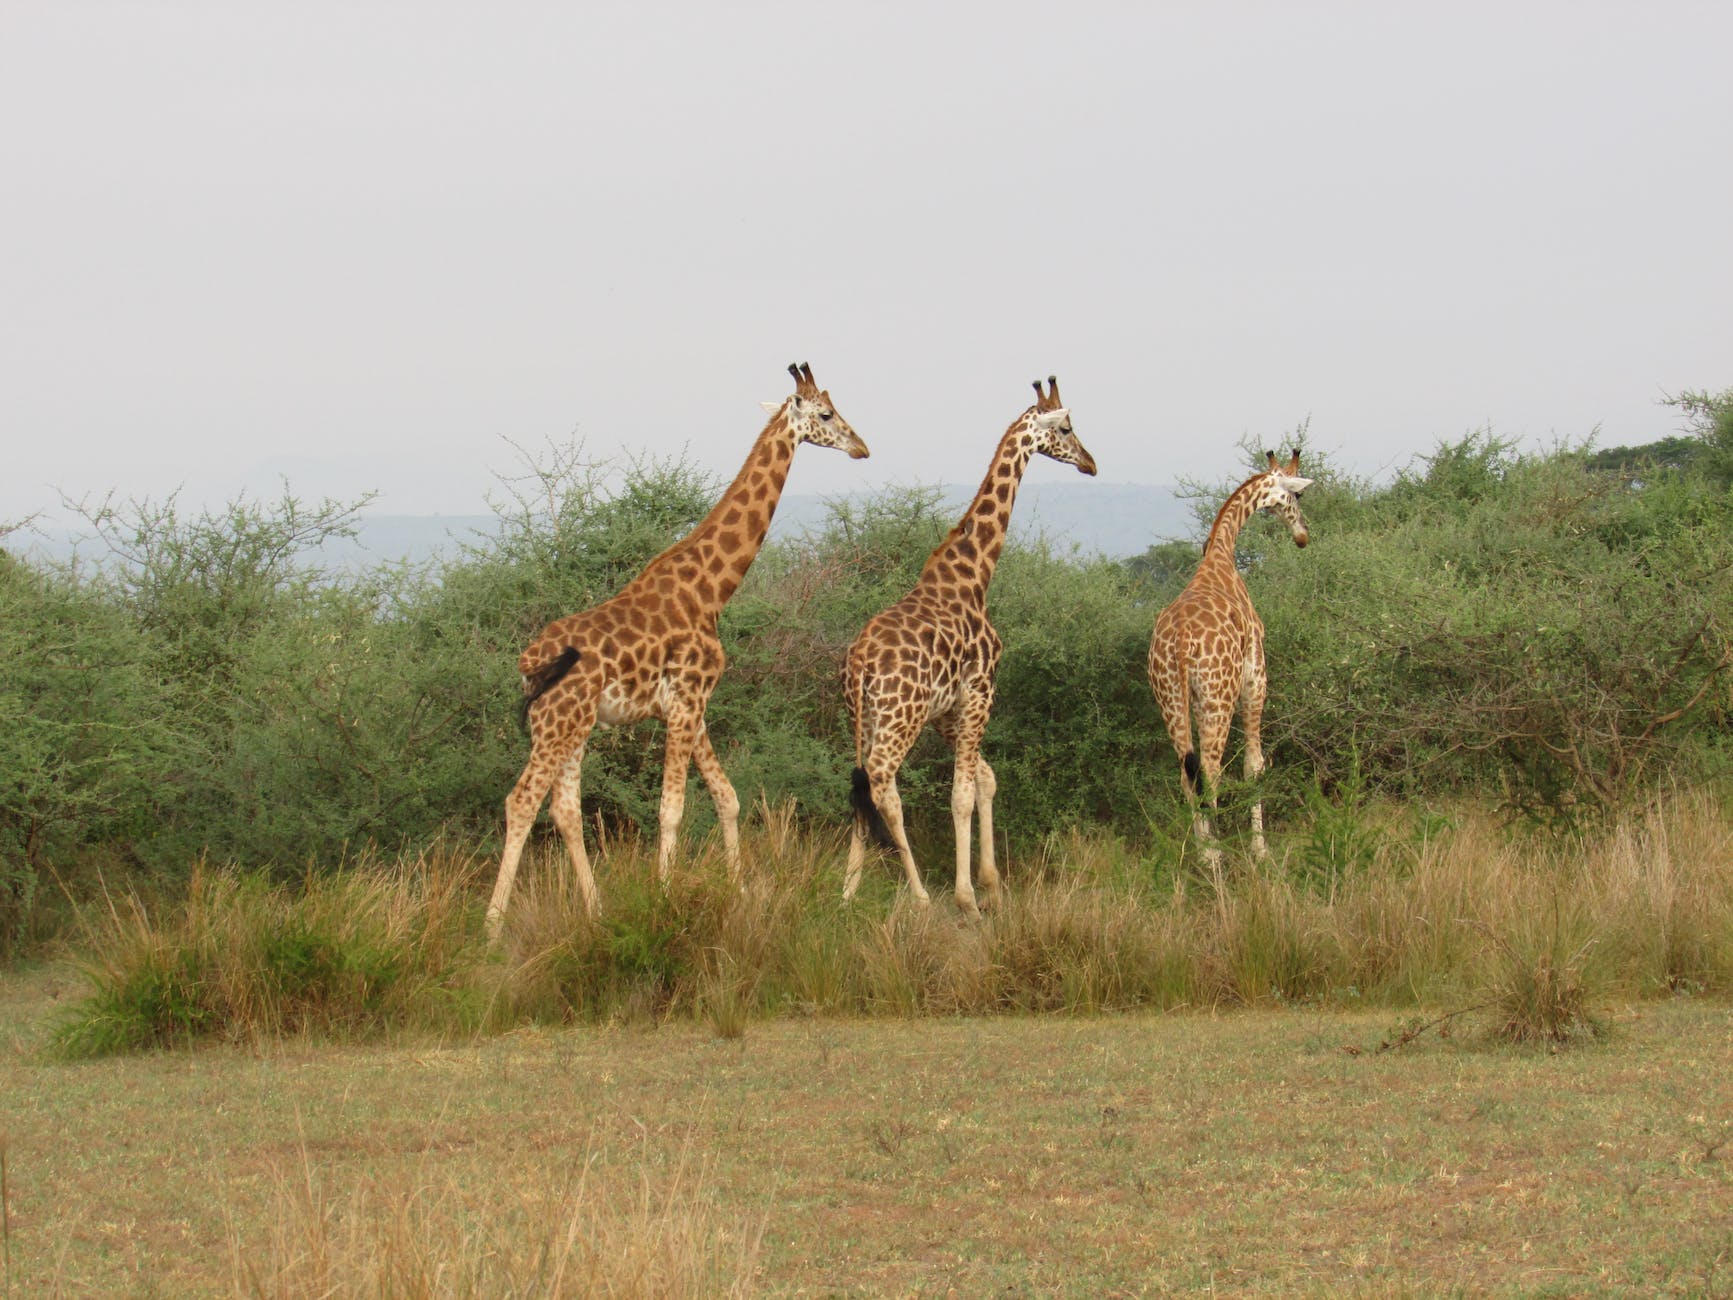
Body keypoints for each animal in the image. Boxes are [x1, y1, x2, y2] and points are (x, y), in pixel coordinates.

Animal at [485, 362, 866, 942]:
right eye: (825, 414)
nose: (862, 447)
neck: (709, 589)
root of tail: (529, 664)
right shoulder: (687, 701)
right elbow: (672, 809)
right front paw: (663, 901)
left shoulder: (691, 705)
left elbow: (728, 797)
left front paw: (738, 891)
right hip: (557, 723)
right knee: (522, 800)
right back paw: (490, 928)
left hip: (573, 725)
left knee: (565, 809)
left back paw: (596, 912)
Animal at [842, 376, 1095, 922]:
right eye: (1066, 427)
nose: (1090, 462)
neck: (975, 576)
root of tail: (861, 664)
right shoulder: (980, 690)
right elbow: (960, 793)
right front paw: (968, 899)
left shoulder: (947, 708)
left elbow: (986, 777)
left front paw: (993, 886)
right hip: (901, 716)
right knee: (884, 785)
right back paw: (918, 894)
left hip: (863, 717)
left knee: (860, 785)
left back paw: (847, 892)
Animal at [1150, 447, 1310, 866]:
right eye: (1299, 494)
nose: (1303, 536)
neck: (1222, 553)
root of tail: (1179, 643)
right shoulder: (1255, 677)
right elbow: (1254, 764)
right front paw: (1260, 848)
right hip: (1217, 698)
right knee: (1211, 771)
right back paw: (1215, 858)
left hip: (1171, 699)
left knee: (1187, 775)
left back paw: (1201, 855)